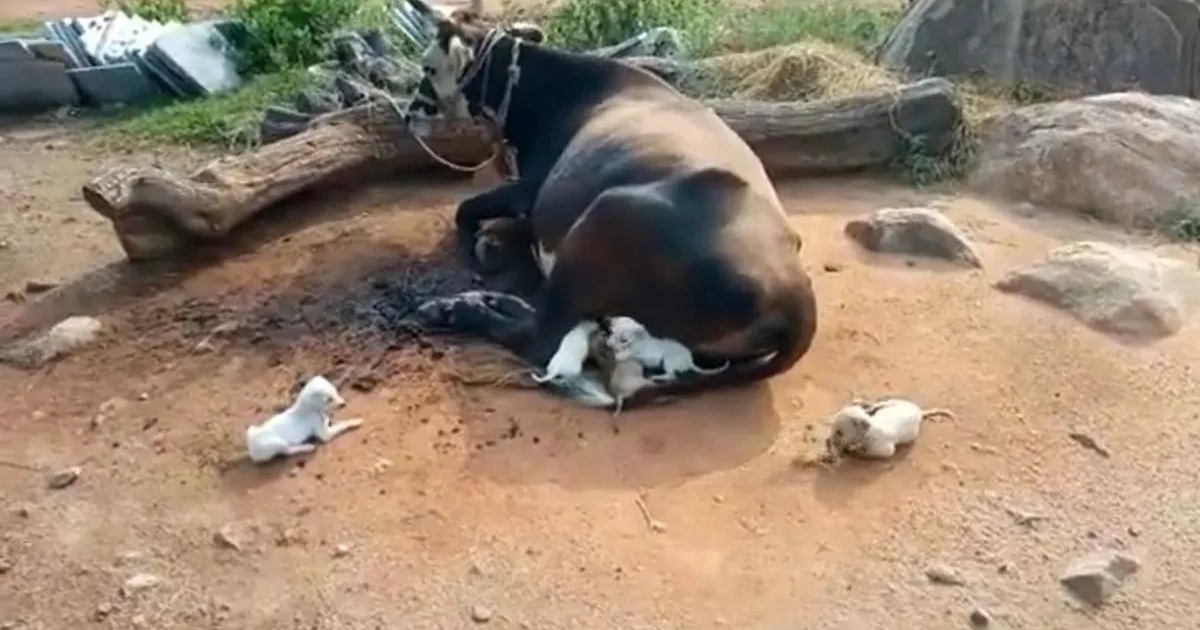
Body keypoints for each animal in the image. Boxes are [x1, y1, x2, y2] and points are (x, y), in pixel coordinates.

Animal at [400, 0, 816, 410]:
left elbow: (467, 210)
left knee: (541, 335)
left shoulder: (530, 189)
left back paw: (455, 308)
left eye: (428, 66)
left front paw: (480, 247)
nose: (409, 115)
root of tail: (795, 299)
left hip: (605, 214)